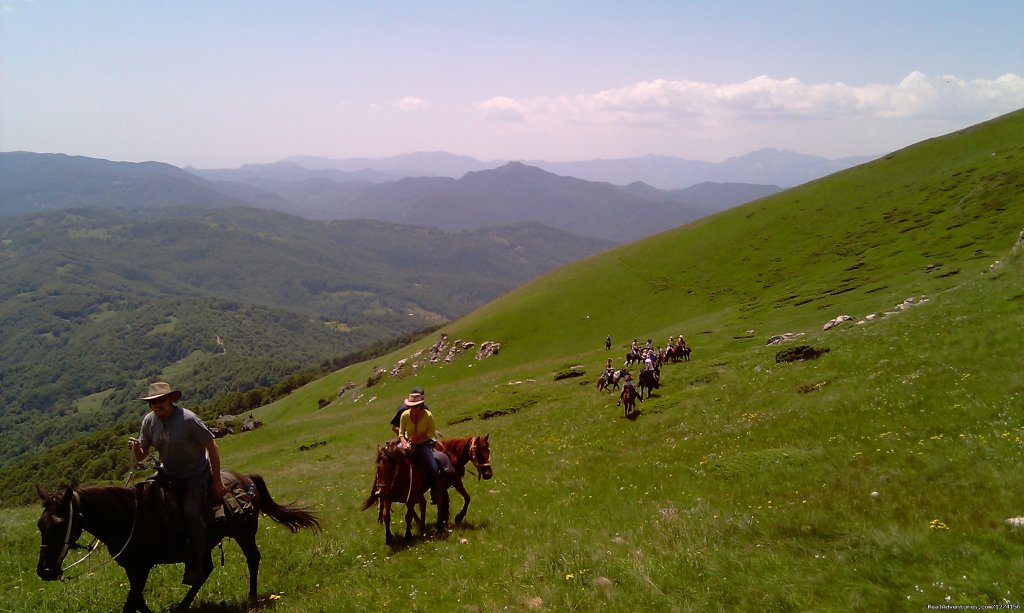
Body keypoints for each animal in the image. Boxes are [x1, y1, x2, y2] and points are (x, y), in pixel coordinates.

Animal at [37, 472, 319, 609]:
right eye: (40, 525)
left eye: (60, 524)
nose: (45, 571)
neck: (130, 516)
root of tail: (246, 478)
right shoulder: (132, 567)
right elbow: (137, 601)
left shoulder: (143, 567)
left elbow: (131, 602)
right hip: (203, 546)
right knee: (204, 571)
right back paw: (183, 607)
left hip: (244, 533)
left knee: (253, 559)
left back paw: (251, 598)